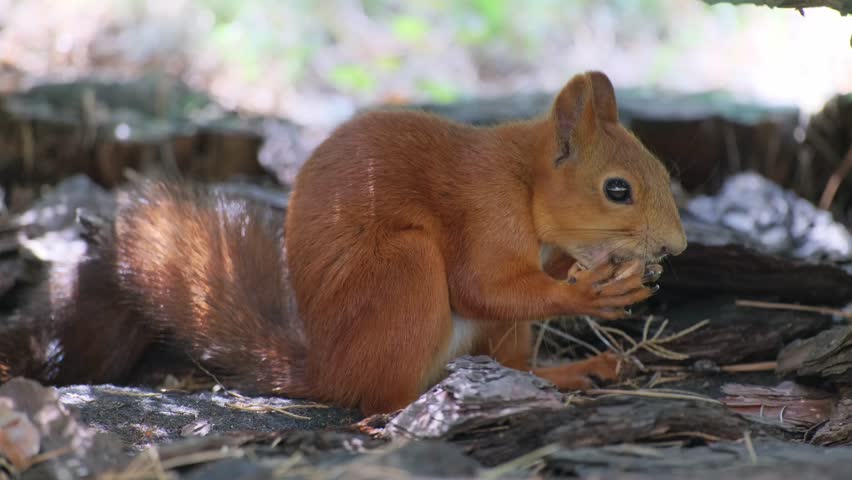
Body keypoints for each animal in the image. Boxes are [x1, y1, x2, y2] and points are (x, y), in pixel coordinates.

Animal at [0, 71, 686, 415]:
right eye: (618, 189)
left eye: (660, 165)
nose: (677, 247)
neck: (523, 180)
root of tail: (327, 368)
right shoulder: (486, 210)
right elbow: (480, 285)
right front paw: (592, 293)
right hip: (404, 271)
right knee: (382, 397)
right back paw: (415, 406)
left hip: (486, 334)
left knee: (516, 364)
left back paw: (570, 373)